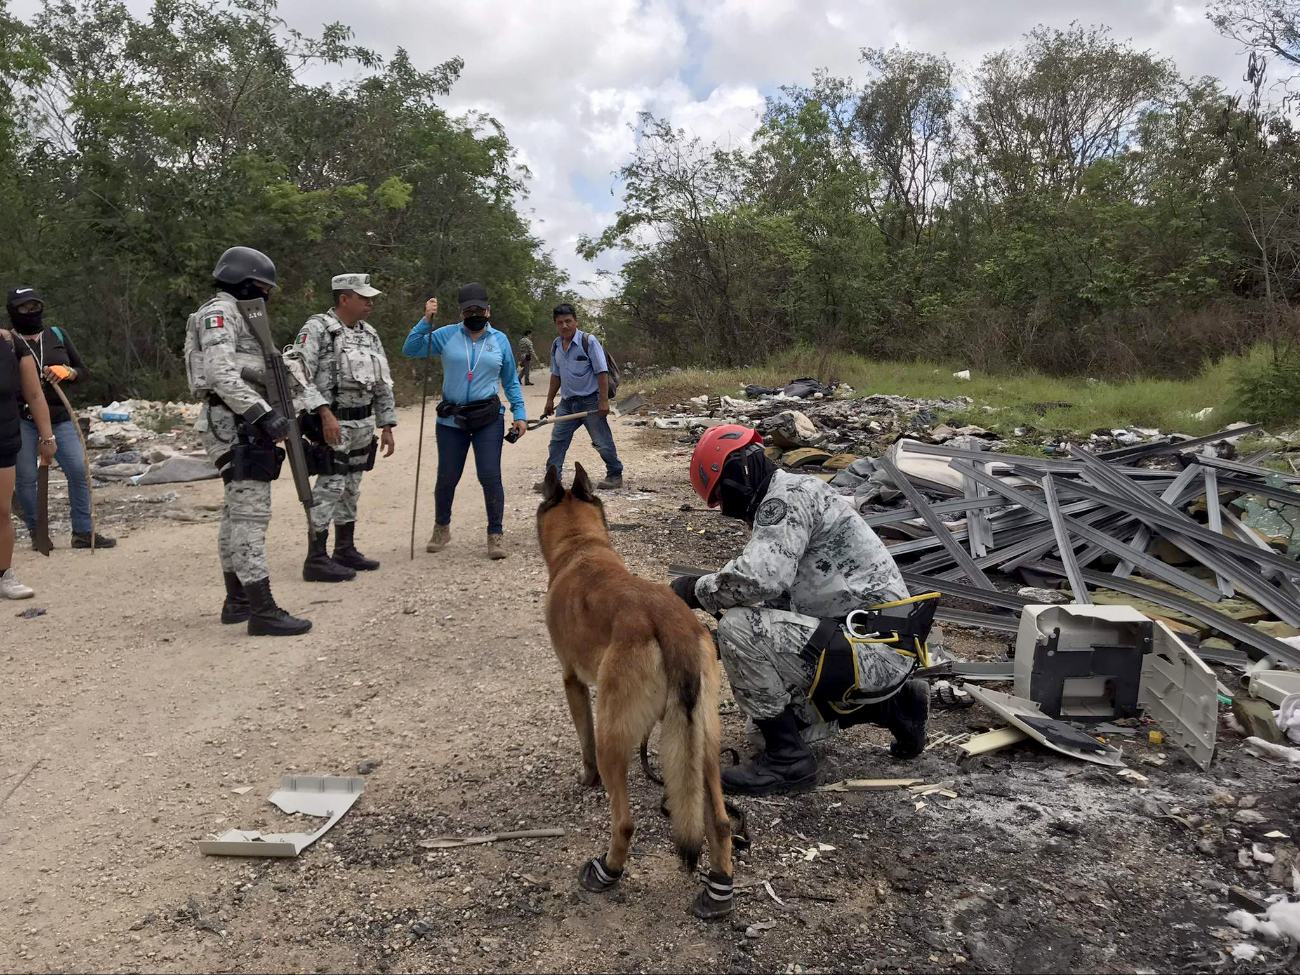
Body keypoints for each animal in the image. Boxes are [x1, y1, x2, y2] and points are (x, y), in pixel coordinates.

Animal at [533, 465, 728, 925]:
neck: (580, 546)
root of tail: (669, 622)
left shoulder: (572, 682)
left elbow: (583, 741)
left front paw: (585, 779)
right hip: (706, 740)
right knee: (718, 820)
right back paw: (719, 889)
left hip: (613, 737)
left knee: (623, 822)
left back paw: (608, 870)